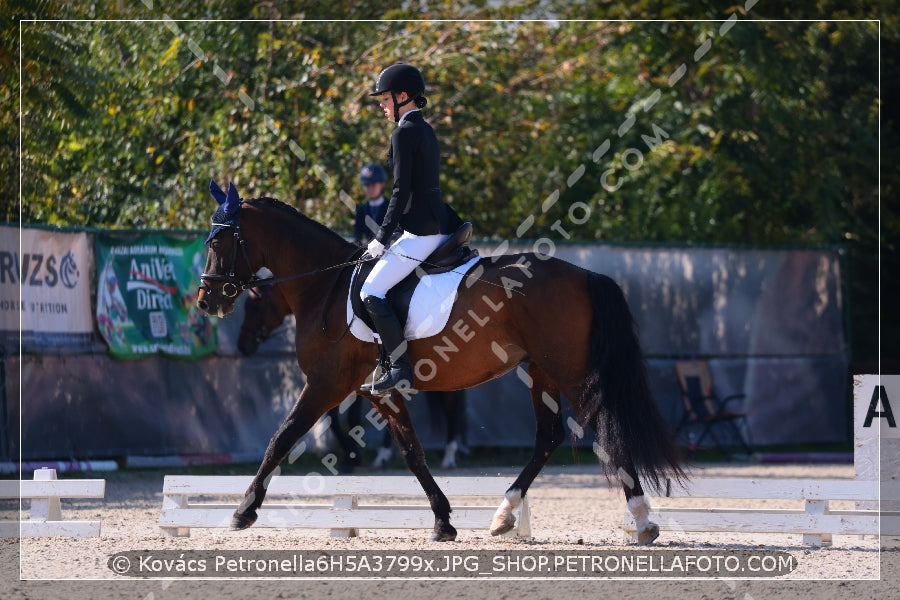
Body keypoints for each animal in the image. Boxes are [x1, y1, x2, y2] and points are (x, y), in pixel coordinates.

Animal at [199, 191, 684, 544]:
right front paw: (443, 521)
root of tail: (584, 274)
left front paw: (242, 511)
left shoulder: (325, 384)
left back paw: (642, 521)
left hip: (568, 370)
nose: (207, 300)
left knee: (603, 429)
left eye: (218, 242)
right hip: (542, 371)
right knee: (548, 438)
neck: (325, 287)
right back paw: (504, 515)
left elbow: (281, 439)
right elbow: (412, 452)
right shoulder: (380, 390)